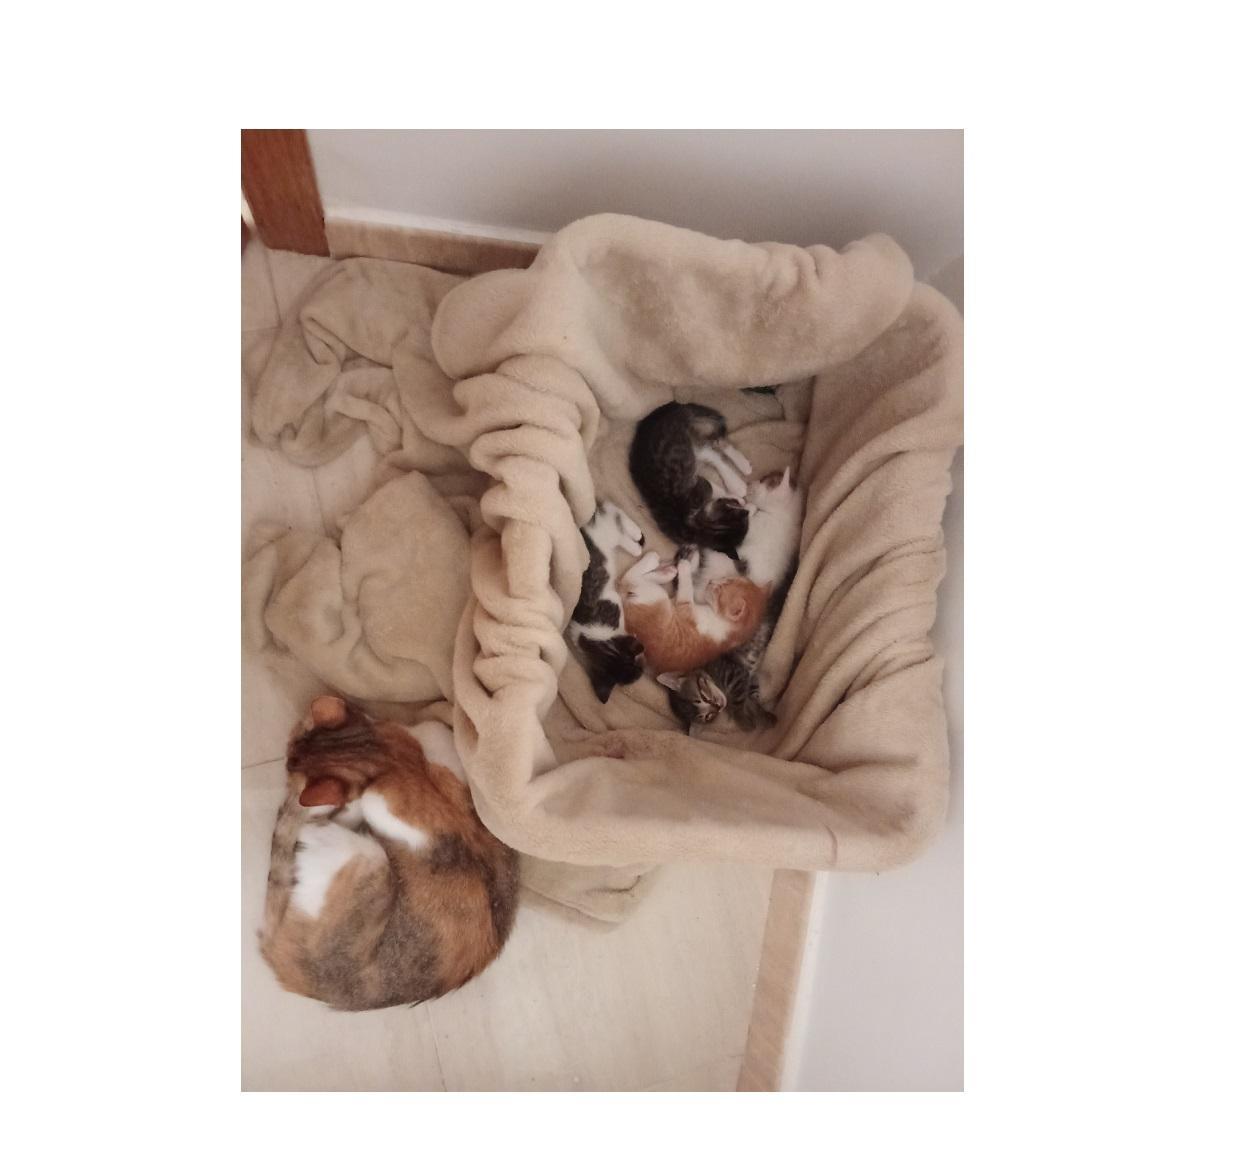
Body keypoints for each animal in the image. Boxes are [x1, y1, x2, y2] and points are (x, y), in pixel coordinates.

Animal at [260, 696, 520, 1011]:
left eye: (289, 765)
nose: (286, 768)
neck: (389, 754)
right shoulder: (437, 739)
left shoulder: (383, 799)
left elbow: (367, 803)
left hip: (365, 854)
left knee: (310, 827)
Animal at [567, 500, 648, 702]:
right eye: (637, 672)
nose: (643, 667)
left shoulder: (612, 601)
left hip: (606, 531)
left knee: (615, 514)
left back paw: (636, 538)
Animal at [620, 546, 767, 675]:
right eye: (726, 579)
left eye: (719, 589)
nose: (711, 582)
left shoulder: (685, 606)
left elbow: (687, 587)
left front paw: (685, 565)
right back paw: (667, 572)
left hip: (655, 596)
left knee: (629, 579)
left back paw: (654, 560)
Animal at [629, 402, 753, 557]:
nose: (740, 505)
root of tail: (676, 406)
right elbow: (714, 488)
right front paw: (738, 499)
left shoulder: (699, 486)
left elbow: (712, 487)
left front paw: (738, 497)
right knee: (716, 443)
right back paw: (741, 471)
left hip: (687, 440)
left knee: (713, 454)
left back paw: (738, 479)